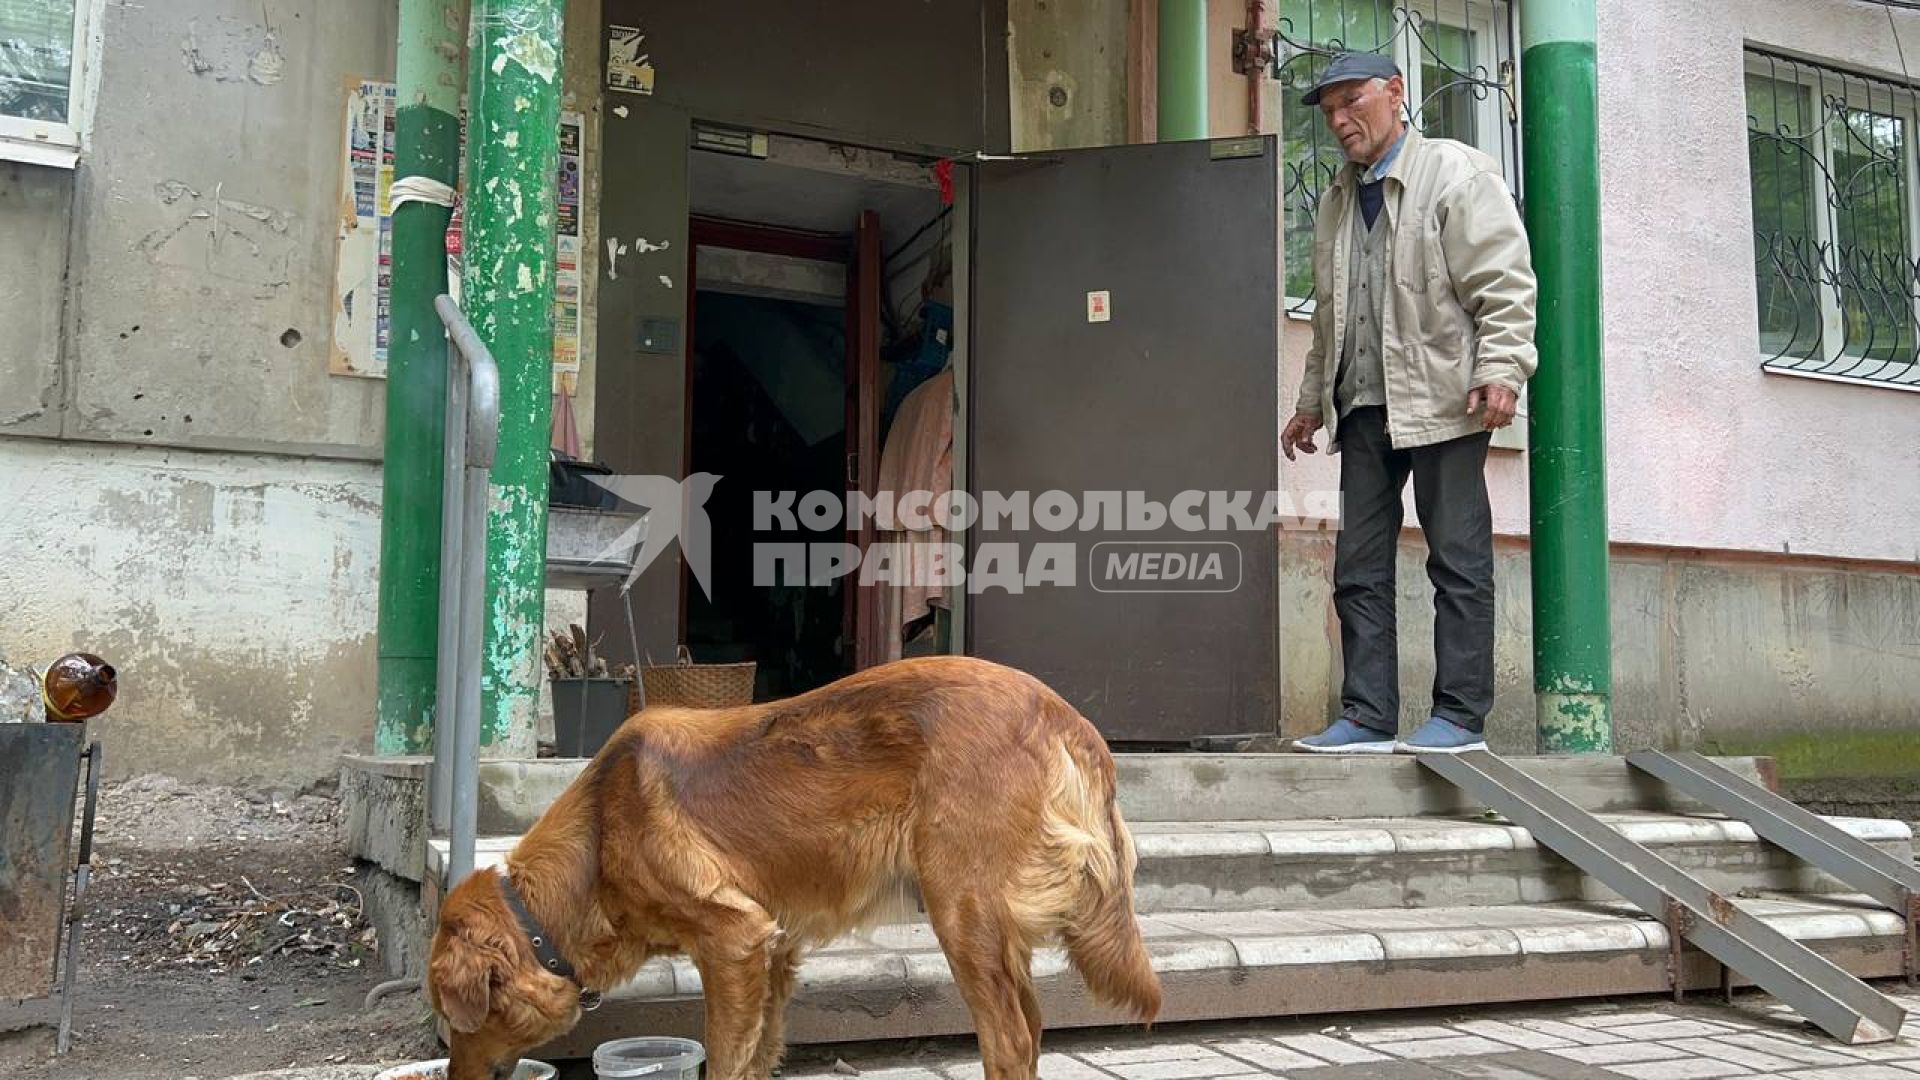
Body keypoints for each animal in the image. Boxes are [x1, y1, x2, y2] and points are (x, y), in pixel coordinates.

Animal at [428, 653, 1159, 1068]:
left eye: (456, 1020)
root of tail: (1068, 719)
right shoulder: (772, 954)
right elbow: (756, 1057)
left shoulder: (731, 942)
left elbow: (726, 1062)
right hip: (997, 929)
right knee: (1031, 1028)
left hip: (962, 912)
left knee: (1008, 1040)